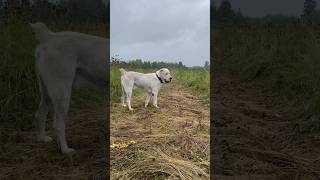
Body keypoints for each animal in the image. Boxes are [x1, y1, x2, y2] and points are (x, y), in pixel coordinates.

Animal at [31, 22, 109, 155]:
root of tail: (49, 36)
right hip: (62, 92)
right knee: (58, 124)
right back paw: (65, 150)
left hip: (48, 92)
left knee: (40, 114)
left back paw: (42, 139)